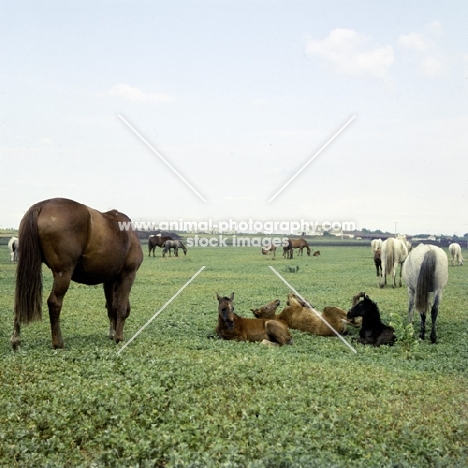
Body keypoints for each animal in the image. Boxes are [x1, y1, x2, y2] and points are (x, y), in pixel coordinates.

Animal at [11, 197, 143, 352]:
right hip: (64, 273)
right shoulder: (128, 275)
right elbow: (121, 307)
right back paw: (58, 342)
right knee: (54, 302)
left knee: (20, 299)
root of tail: (41, 206)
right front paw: (119, 337)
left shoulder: (109, 281)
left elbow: (112, 307)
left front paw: (113, 333)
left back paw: (16, 340)